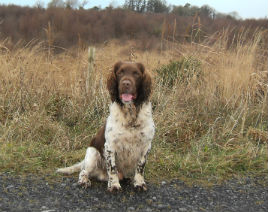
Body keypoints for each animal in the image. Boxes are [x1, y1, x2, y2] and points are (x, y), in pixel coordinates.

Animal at [57, 61, 156, 192]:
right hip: (92, 154)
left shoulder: (146, 145)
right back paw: (84, 181)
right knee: (84, 171)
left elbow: (140, 167)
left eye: (136, 74)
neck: (130, 115)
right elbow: (112, 168)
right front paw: (114, 185)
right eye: (120, 73)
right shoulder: (110, 146)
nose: (126, 83)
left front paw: (139, 183)